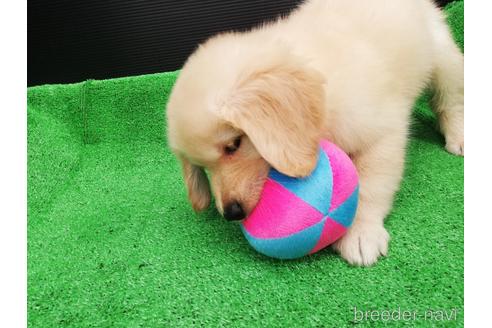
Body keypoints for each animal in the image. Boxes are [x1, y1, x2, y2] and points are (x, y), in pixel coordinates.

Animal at [167, 0, 464, 266]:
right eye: (202, 167)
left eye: (233, 145)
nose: (232, 213)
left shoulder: (382, 133)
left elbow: (371, 185)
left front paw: (360, 232)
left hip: (442, 55)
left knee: (451, 99)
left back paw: (458, 136)